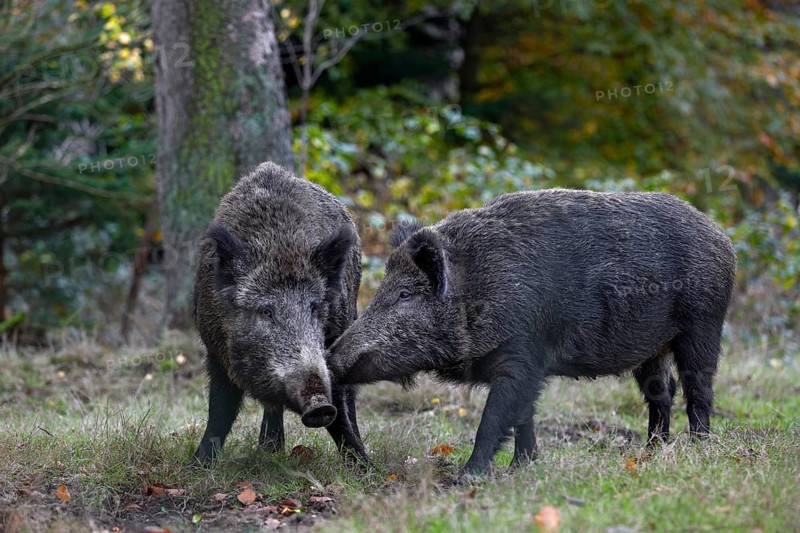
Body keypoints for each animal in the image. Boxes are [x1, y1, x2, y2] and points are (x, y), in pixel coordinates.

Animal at [192, 162, 367, 466]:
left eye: (315, 307)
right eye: (266, 310)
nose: (319, 405)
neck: (281, 247)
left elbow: (340, 412)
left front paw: (366, 467)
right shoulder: (215, 350)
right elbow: (220, 411)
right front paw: (198, 465)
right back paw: (270, 450)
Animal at [330, 189, 736, 477]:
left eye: (405, 294)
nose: (333, 358)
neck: (479, 287)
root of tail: (723, 238)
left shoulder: (522, 356)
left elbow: (494, 420)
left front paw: (468, 477)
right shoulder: (527, 367)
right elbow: (523, 417)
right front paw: (522, 467)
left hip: (703, 322)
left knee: (698, 388)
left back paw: (699, 449)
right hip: (651, 346)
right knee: (661, 391)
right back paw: (651, 453)